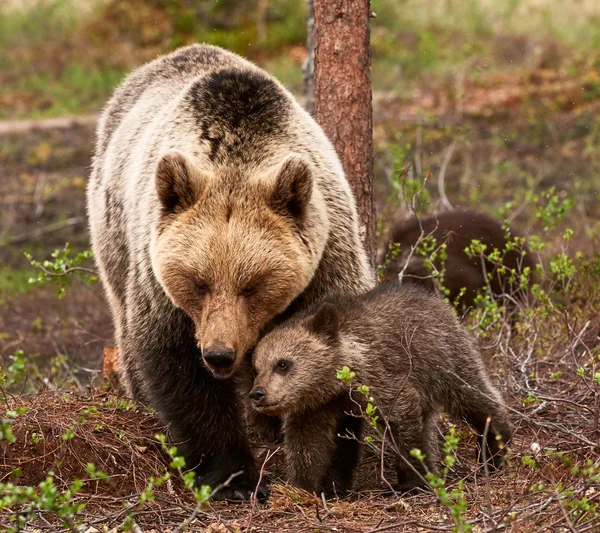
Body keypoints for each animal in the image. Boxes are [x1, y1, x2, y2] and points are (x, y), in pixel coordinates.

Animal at [86, 44, 372, 498]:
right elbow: (178, 365)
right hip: (113, 231)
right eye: (198, 281)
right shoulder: (161, 283)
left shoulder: (326, 260)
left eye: (252, 285)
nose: (219, 353)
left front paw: (325, 471)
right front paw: (236, 477)